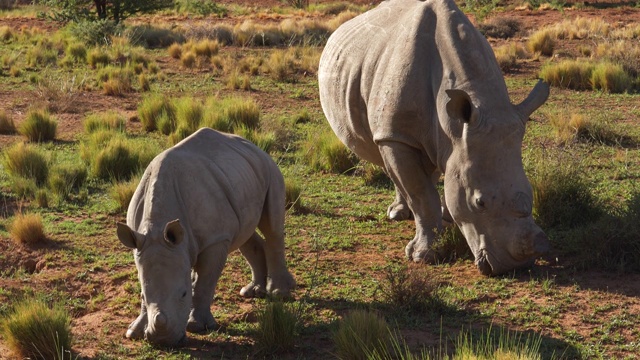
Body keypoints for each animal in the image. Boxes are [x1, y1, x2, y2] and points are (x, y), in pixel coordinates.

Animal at [115, 127, 296, 346]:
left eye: (183, 294)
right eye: (141, 295)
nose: (163, 341)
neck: (156, 227)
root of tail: (252, 144)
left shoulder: (215, 240)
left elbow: (204, 282)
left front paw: (197, 326)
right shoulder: (141, 243)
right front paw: (134, 332)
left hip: (269, 168)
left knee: (272, 228)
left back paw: (279, 294)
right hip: (242, 176)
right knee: (245, 234)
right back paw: (252, 292)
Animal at [320, 0, 552, 274]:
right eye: (480, 203)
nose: (514, 267)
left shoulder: (452, 141)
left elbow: (434, 179)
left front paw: (443, 222)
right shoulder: (397, 134)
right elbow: (421, 193)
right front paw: (423, 256)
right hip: (388, 124)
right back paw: (397, 215)